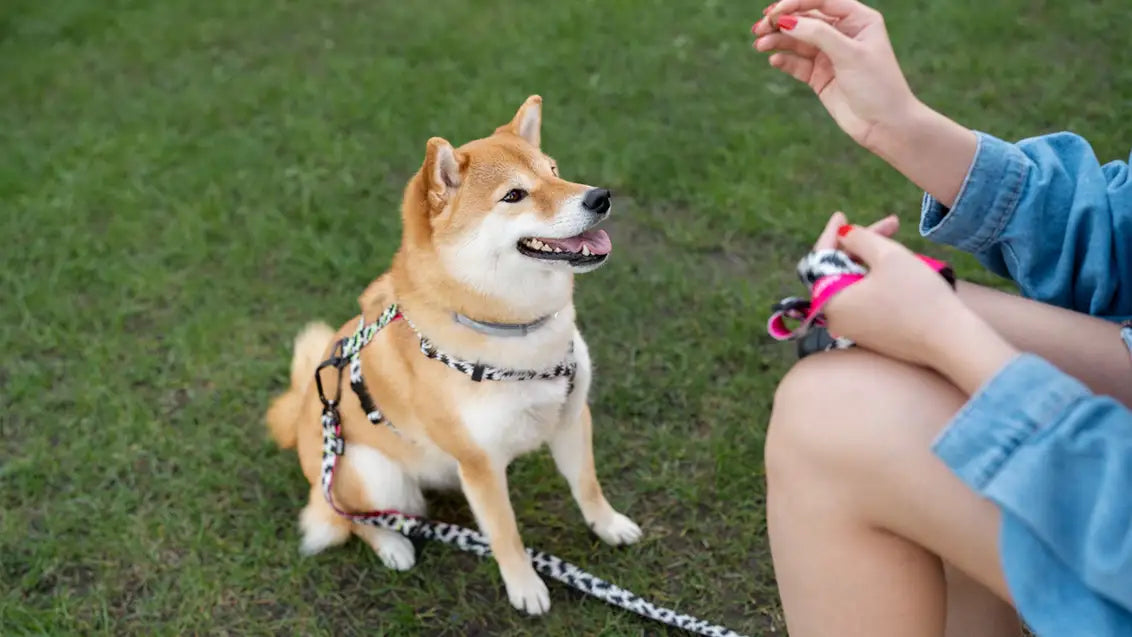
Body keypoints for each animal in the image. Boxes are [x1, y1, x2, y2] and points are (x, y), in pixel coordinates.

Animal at [260, 94, 642, 610]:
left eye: (554, 171)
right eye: (514, 195)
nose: (600, 197)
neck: (517, 331)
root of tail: (303, 409)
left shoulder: (571, 415)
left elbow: (587, 485)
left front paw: (609, 526)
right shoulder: (479, 465)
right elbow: (505, 533)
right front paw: (525, 588)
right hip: (371, 473)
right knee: (348, 520)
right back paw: (394, 546)